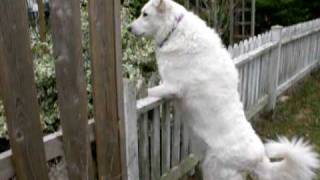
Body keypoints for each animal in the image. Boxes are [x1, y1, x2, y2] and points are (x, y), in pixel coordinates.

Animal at [129, 0, 318, 179]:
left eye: (145, 14)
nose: (129, 28)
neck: (174, 29)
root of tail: (260, 160)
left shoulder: (172, 86)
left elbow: (149, 93)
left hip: (214, 168)